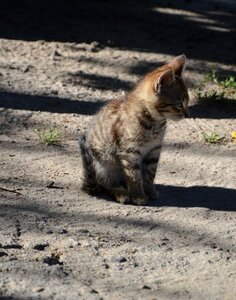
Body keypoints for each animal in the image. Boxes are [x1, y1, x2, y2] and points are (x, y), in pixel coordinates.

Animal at [79, 54, 190, 205]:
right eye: (179, 105)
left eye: (188, 102)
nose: (188, 115)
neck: (153, 122)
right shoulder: (130, 151)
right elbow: (134, 175)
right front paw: (138, 195)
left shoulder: (154, 150)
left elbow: (150, 174)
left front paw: (149, 190)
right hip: (104, 163)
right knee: (106, 184)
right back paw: (120, 192)